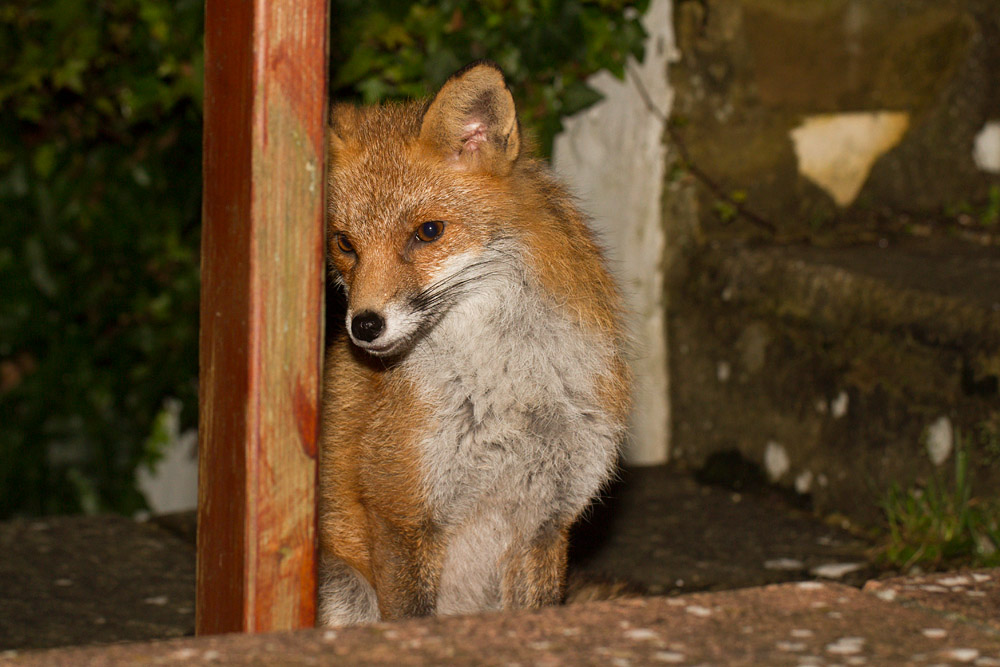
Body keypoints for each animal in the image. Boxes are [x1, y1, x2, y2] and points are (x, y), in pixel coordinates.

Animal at [318, 61, 632, 626]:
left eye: (428, 232)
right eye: (344, 244)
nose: (364, 326)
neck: (514, 385)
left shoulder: (547, 521)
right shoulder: (403, 514)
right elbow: (411, 617)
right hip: (347, 592)